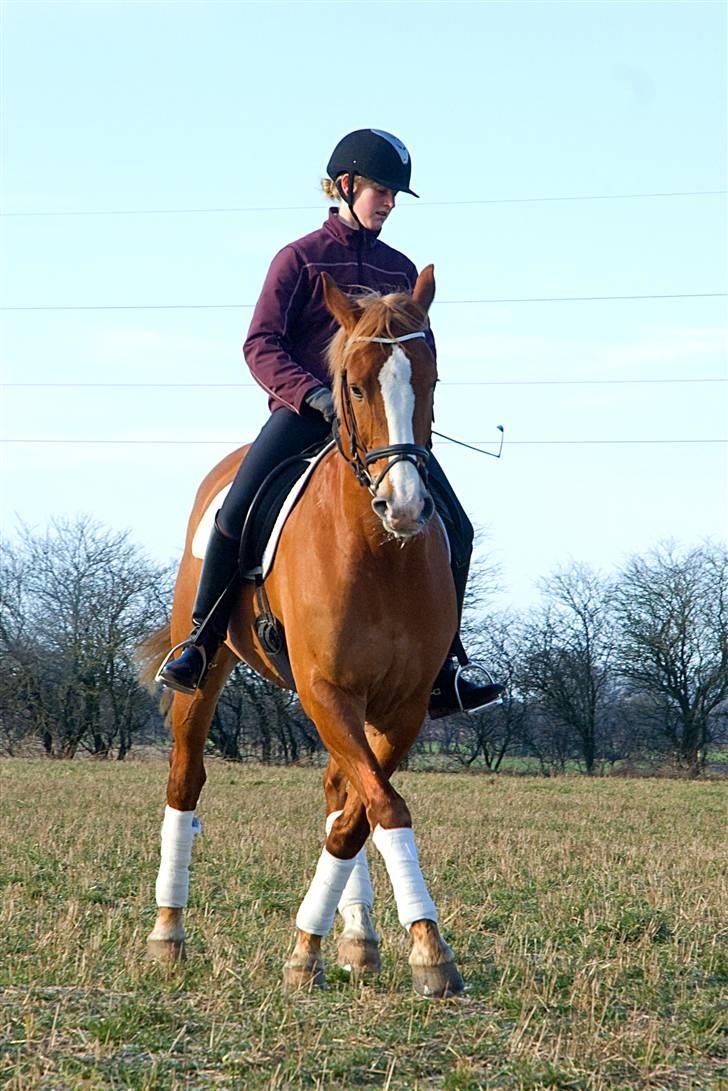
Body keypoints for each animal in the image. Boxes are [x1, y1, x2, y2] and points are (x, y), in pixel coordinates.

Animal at [141, 264, 467, 999]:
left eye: (431, 379)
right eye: (354, 384)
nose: (405, 505)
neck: (378, 551)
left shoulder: (402, 707)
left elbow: (359, 817)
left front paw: (330, 943)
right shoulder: (326, 691)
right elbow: (385, 809)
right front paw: (424, 947)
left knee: (339, 795)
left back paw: (359, 938)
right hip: (205, 672)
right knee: (185, 783)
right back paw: (168, 933)